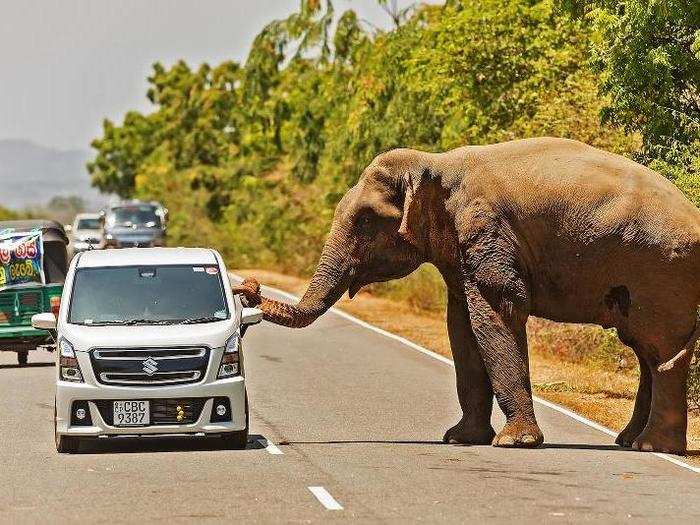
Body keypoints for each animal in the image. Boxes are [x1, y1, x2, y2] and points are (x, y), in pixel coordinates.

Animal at [237, 137, 700, 452]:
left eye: (366, 221)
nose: (248, 287)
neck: (434, 163)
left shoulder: (486, 230)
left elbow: (494, 314)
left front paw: (514, 444)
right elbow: (460, 327)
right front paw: (461, 440)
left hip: (663, 273)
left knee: (660, 351)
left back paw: (651, 448)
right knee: (646, 351)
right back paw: (630, 442)